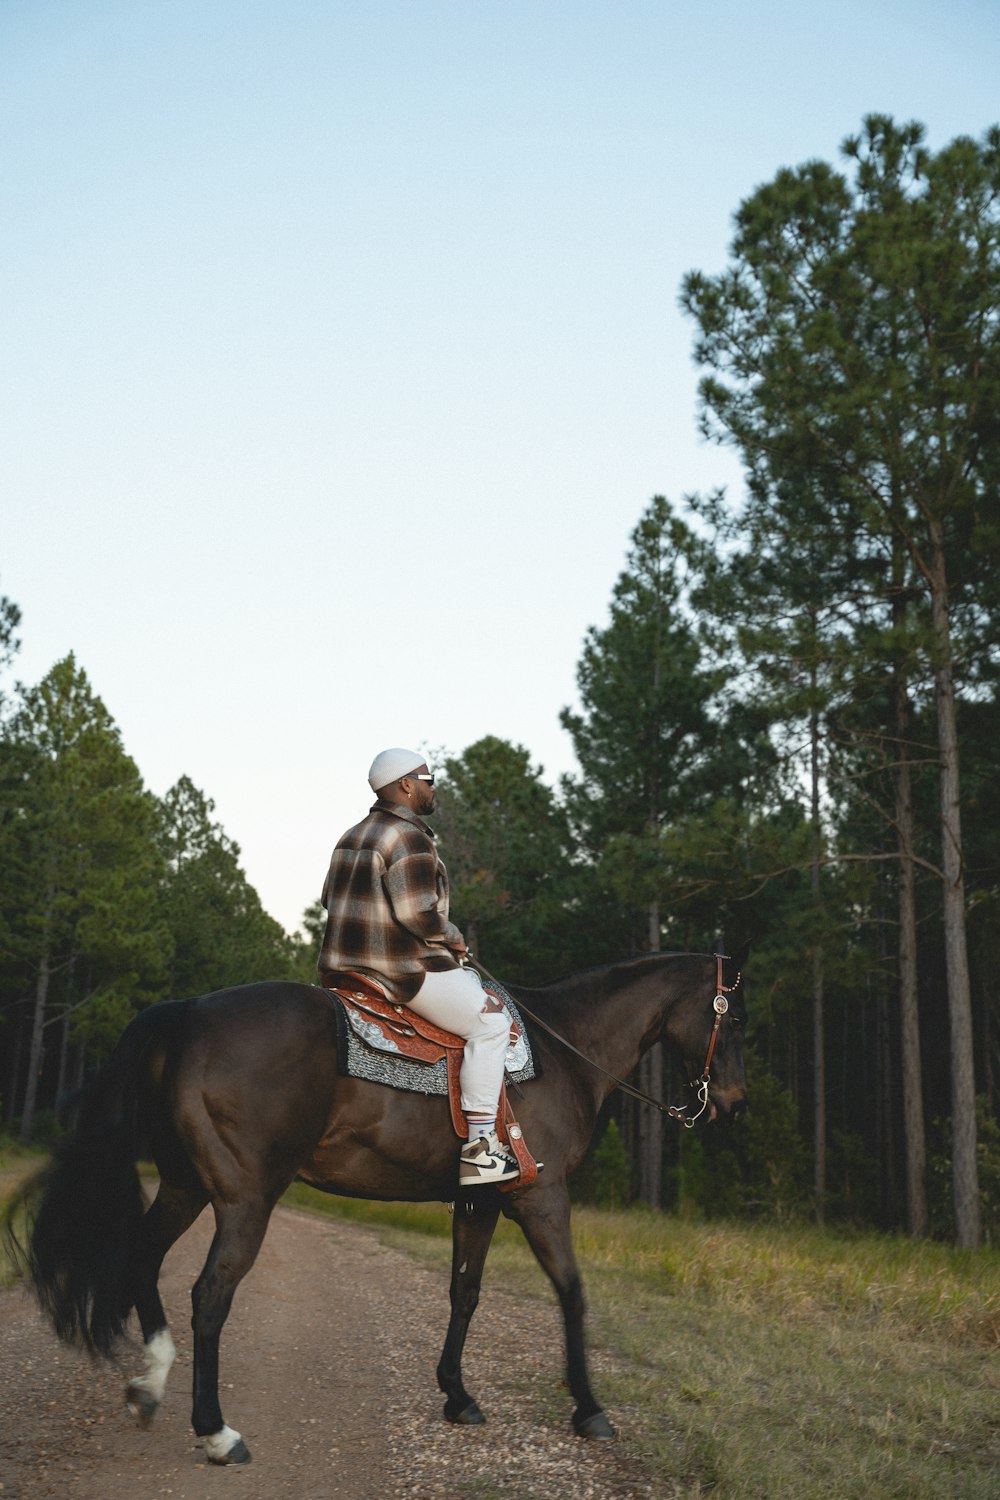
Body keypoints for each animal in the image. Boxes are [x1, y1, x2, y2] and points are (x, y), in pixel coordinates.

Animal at [9, 948, 743, 1464]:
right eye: (729, 1017)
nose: (732, 1104)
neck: (568, 1051)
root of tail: (185, 1011)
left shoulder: (476, 1203)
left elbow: (465, 1293)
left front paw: (458, 1394)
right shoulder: (539, 1197)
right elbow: (572, 1291)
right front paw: (589, 1408)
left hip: (186, 1186)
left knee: (141, 1260)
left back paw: (150, 1386)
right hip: (245, 1199)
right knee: (209, 1295)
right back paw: (217, 1432)